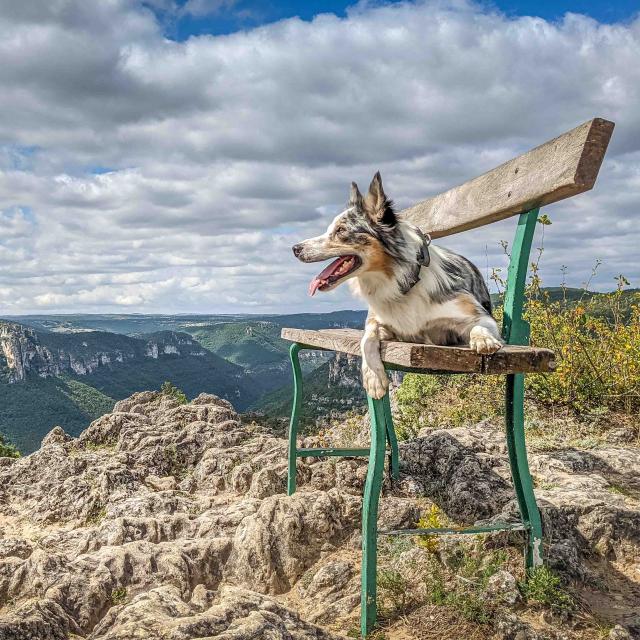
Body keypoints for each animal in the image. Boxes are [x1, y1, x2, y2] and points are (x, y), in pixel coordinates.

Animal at [292, 172, 504, 398]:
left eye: (341, 230)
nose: (295, 248)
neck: (405, 283)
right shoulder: (382, 323)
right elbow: (367, 338)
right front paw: (374, 378)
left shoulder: (476, 317)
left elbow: (480, 325)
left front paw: (484, 340)